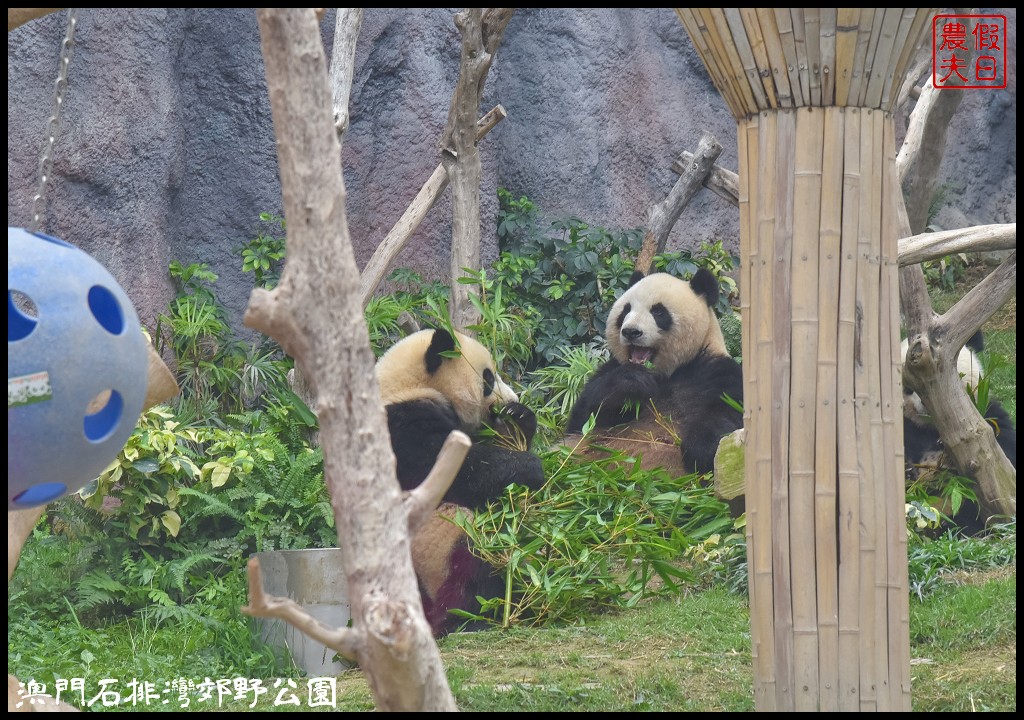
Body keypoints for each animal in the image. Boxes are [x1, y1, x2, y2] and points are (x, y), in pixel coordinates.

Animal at [376, 327, 548, 634]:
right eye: (488, 378)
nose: (512, 397)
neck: (406, 387)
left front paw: (518, 418)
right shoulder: (400, 432)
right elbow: (457, 471)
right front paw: (531, 467)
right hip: (441, 545)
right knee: (478, 563)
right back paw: (472, 616)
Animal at [565, 268, 741, 479]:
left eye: (658, 311)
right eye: (626, 310)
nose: (631, 332)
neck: (667, 373)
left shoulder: (714, 371)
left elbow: (728, 414)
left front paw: (697, 449)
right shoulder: (610, 369)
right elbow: (583, 419)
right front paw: (633, 382)